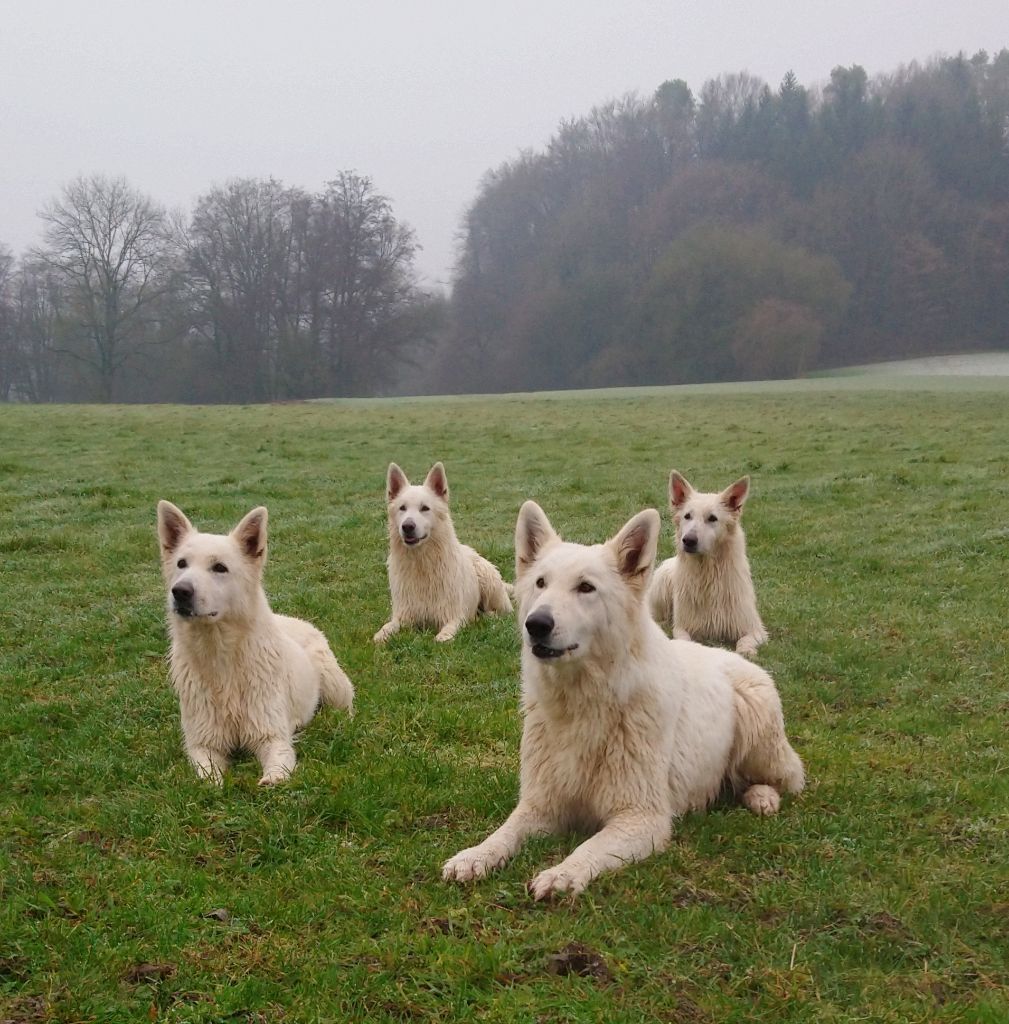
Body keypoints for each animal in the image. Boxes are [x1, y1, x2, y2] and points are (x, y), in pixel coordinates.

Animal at [156, 501, 354, 782]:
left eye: (220, 567)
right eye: (181, 564)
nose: (180, 592)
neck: (221, 658)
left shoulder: (273, 737)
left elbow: (277, 773)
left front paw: (269, 781)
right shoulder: (203, 745)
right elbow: (208, 777)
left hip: (335, 686)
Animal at [372, 462, 512, 643]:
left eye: (425, 508)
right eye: (402, 508)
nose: (407, 526)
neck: (421, 564)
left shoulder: (455, 615)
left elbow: (446, 634)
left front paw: (442, 638)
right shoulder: (403, 616)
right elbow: (388, 627)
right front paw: (381, 635)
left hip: (488, 580)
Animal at [651, 468, 766, 655]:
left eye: (712, 518)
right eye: (687, 516)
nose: (688, 541)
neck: (708, 573)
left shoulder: (755, 629)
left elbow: (744, 643)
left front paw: (746, 652)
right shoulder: (682, 627)